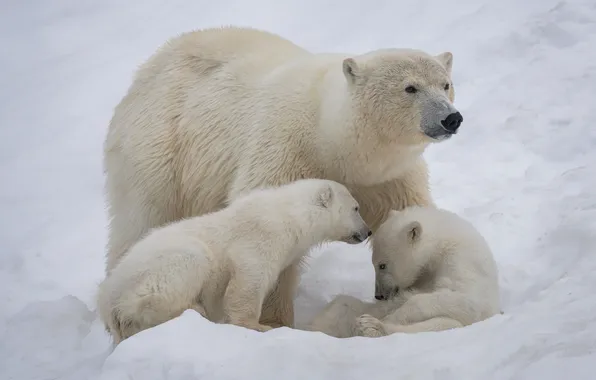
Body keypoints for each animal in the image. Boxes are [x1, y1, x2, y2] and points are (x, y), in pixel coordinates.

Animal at [96, 179, 370, 344]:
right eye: (356, 208)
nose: (367, 232)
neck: (290, 214)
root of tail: (109, 305)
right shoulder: (262, 235)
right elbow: (249, 279)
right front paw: (258, 326)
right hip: (157, 270)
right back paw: (194, 309)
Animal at [105, 26, 464, 330]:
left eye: (445, 83)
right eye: (410, 87)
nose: (451, 118)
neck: (333, 142)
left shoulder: (389, 177)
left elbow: (413, 217)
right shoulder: (284, 150)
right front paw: (274, 322)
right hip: (159, 147)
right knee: (142, 217)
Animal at [308, 206, 498, 336]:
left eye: (382, 265)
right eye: (374, 264)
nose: (379, 295)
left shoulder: (462, 262)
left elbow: (466, 299)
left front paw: (391, 317)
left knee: (442, 324)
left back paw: (371, 326)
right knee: (343, 303)